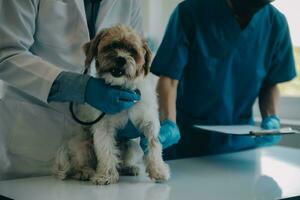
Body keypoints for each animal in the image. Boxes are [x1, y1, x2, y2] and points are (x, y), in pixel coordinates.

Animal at [53, 25, 170, 186]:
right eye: (112, 46)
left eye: (132, 51)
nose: (121, 59)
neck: (122, 90)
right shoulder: (104, 128)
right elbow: (107, 151)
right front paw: (105, 176)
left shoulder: (149, 125)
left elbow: (154, 147)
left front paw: (158, 170)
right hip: (83, 143)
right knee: (78, 163)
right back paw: (85, 171)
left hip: (131, 146)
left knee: (122, 160)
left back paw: (128, 168)